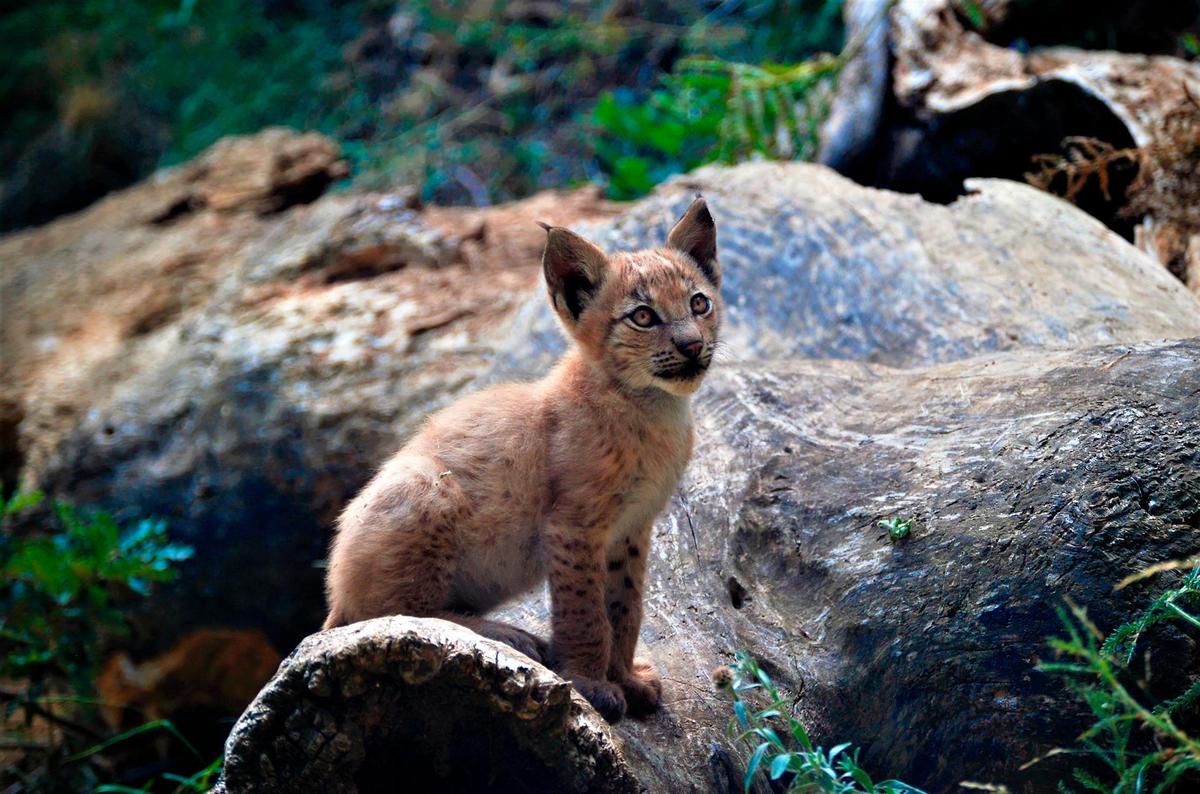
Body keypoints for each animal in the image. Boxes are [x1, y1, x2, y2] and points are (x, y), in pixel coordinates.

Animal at [324, 197, 720, 719]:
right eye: (642, 317)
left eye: (699, 303)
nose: (692, 346)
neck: (653, 406)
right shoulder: (573, 525)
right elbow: (586, 611)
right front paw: (590, 682)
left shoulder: (632, 527)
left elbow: (625, 607)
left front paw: (625, 677)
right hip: (427, 483)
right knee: (385, 616)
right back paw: (504, 633)